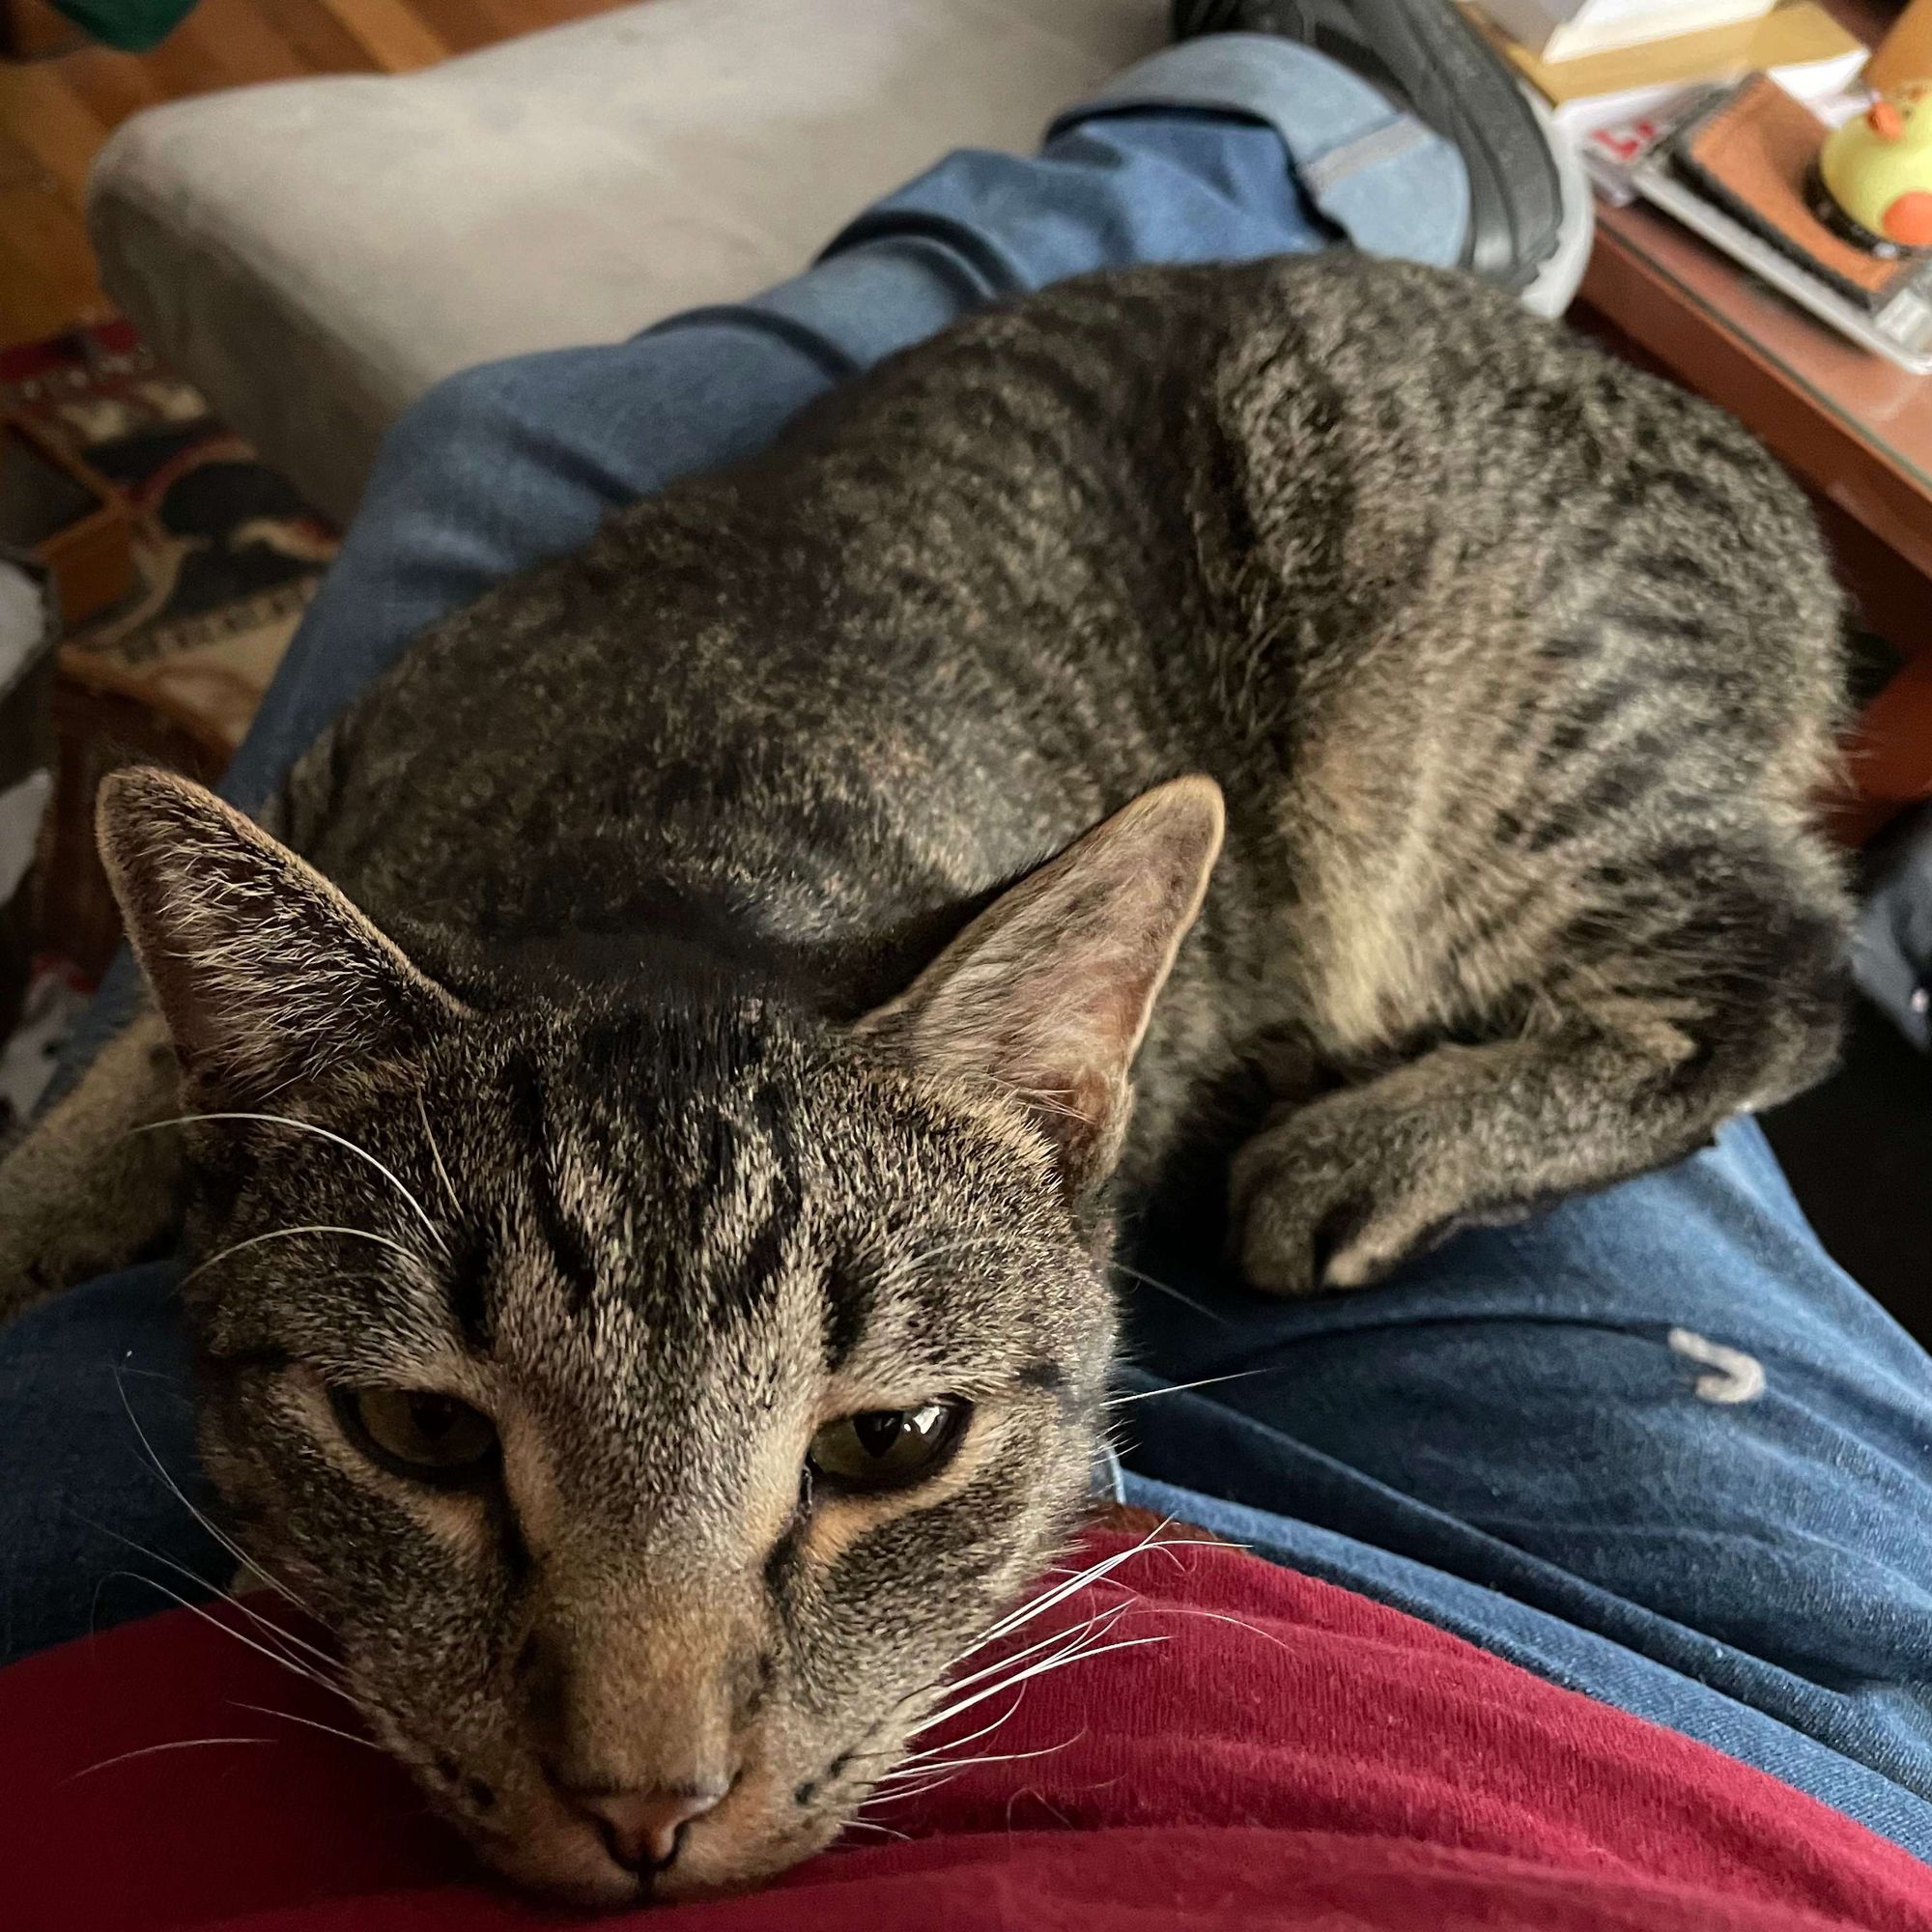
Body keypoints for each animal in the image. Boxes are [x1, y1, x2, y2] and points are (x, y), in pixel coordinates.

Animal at [0, 257, 1847, 1901]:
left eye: (891, 1443)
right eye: (419, 1433)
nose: (645, 1807)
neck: (660, 826)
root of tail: (1749, 468)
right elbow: (118, 1076)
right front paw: (39, 1202)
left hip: (1480, 761)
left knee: (1784, 980)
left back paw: (1364, 1153)